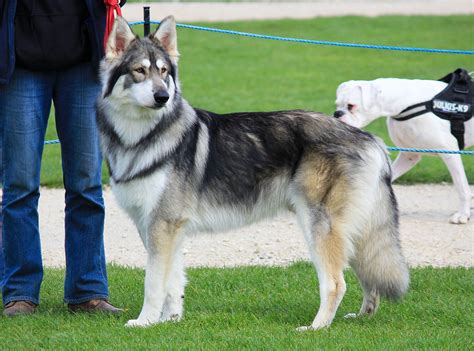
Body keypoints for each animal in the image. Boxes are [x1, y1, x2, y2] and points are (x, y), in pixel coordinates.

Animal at [98, 15, 410, 330]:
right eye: (140, 71)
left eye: (163, 72)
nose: (162, 96)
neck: (141, 137)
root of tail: (371, 139)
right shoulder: (163, 227)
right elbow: (172, 283)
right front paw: (170, 320)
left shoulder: (161, 225)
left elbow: (153, 283)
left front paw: (144, 321)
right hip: (353, 233)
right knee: (368, 279)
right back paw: (362, 315)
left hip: (319, 227)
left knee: (336, 283)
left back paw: (315, 327)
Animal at [336, 78, 472, 224]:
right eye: (337, 105)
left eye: (351, 106)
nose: (337, 114)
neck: (406, 102)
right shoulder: (409, 156)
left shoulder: (450, 152)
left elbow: (461, 186)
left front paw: (463, 214)